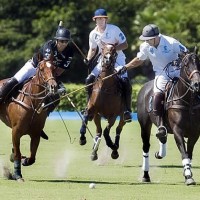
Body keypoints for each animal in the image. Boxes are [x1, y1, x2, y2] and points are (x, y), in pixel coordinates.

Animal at [137, 50, 200, 186]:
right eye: (186, 65)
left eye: (199, 62)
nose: (197, 84)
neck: (188, 102)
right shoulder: (178, 130)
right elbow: (184, 153)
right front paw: (188, 176)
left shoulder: (195, 133)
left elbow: (189, 154)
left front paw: (187, 174)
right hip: (144, 125)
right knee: (146, 147)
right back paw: (145, 175)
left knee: (162, 137)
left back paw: (160, 153)